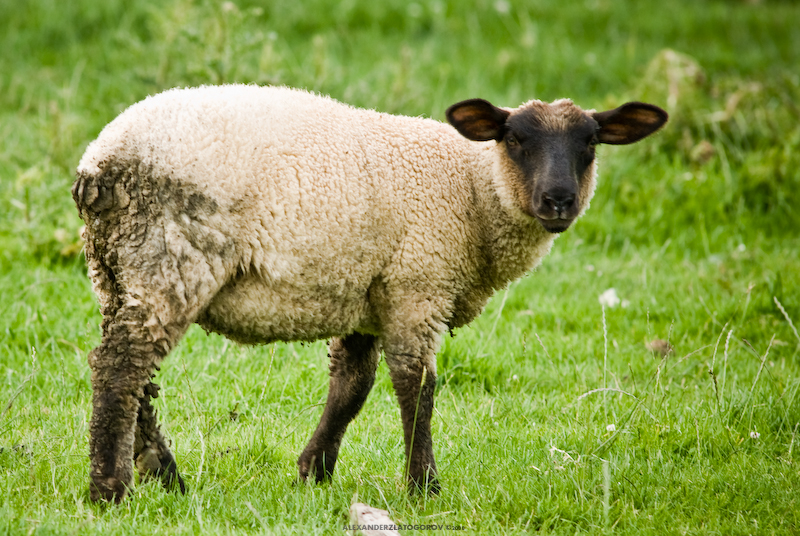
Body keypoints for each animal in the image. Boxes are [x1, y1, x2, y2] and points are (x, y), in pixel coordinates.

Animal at [72, 84, 667, 502]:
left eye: (590, 143)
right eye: (515, 140)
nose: (559, 200)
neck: (472, 191)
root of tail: (98, 165)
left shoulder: (365, 295)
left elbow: (352, 388)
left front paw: (313, 472)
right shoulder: (417, 286)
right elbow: (417, 387)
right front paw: (424, 487)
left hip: (114, 270)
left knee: (132, 374)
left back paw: (164, 476)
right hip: (170, 257)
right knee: (121, 368)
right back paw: (112, 491)